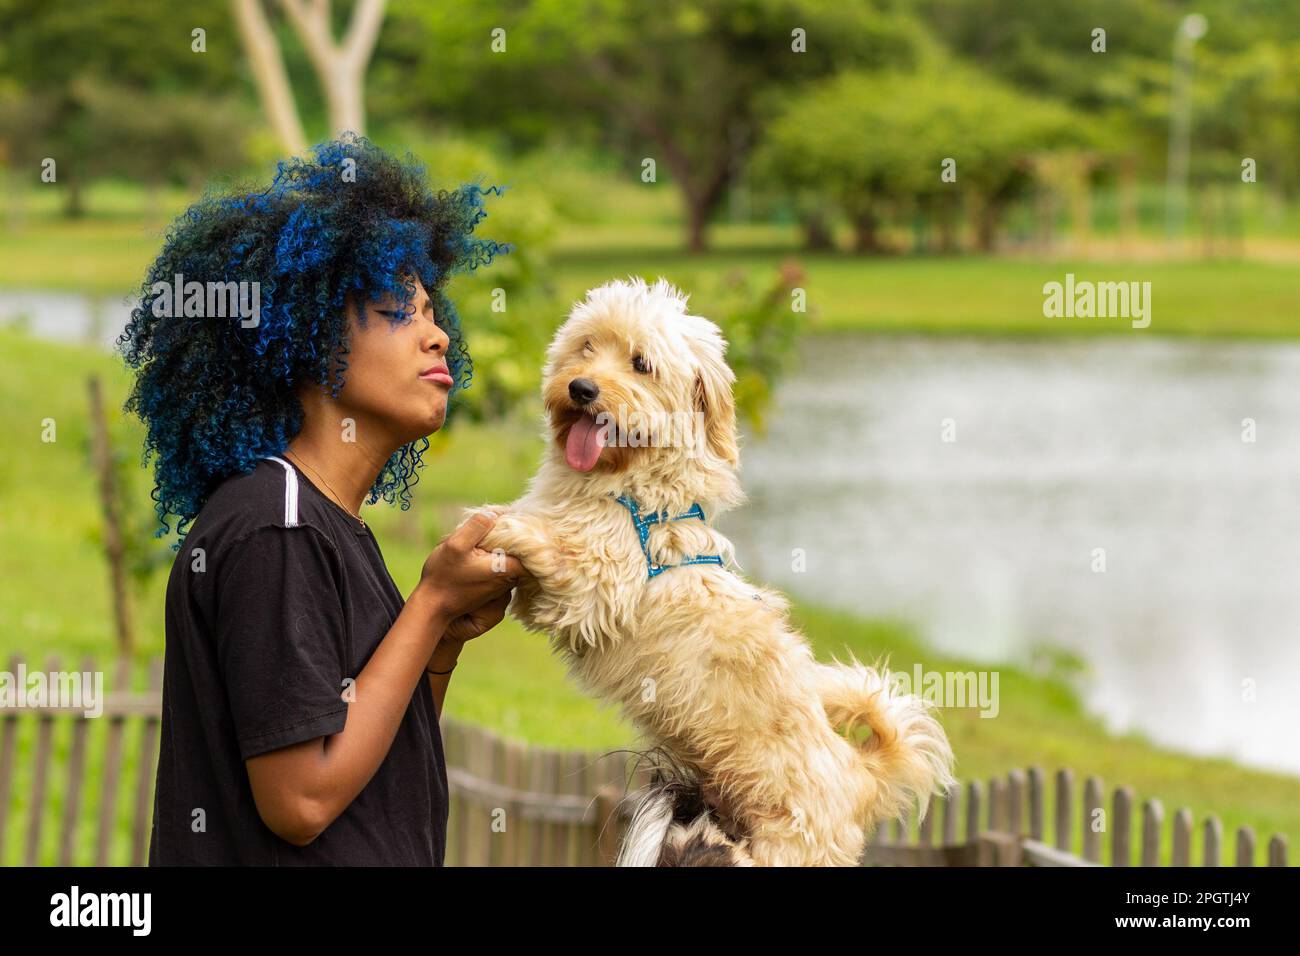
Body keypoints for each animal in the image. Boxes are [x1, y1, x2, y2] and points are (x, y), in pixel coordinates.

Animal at [478, 277, 956, 868]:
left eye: (641, 363)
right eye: (587, 346)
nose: (581, 388)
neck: (626, 487)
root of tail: (860, 775)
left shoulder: (595, 587)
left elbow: (552, 549)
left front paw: (505, 529)